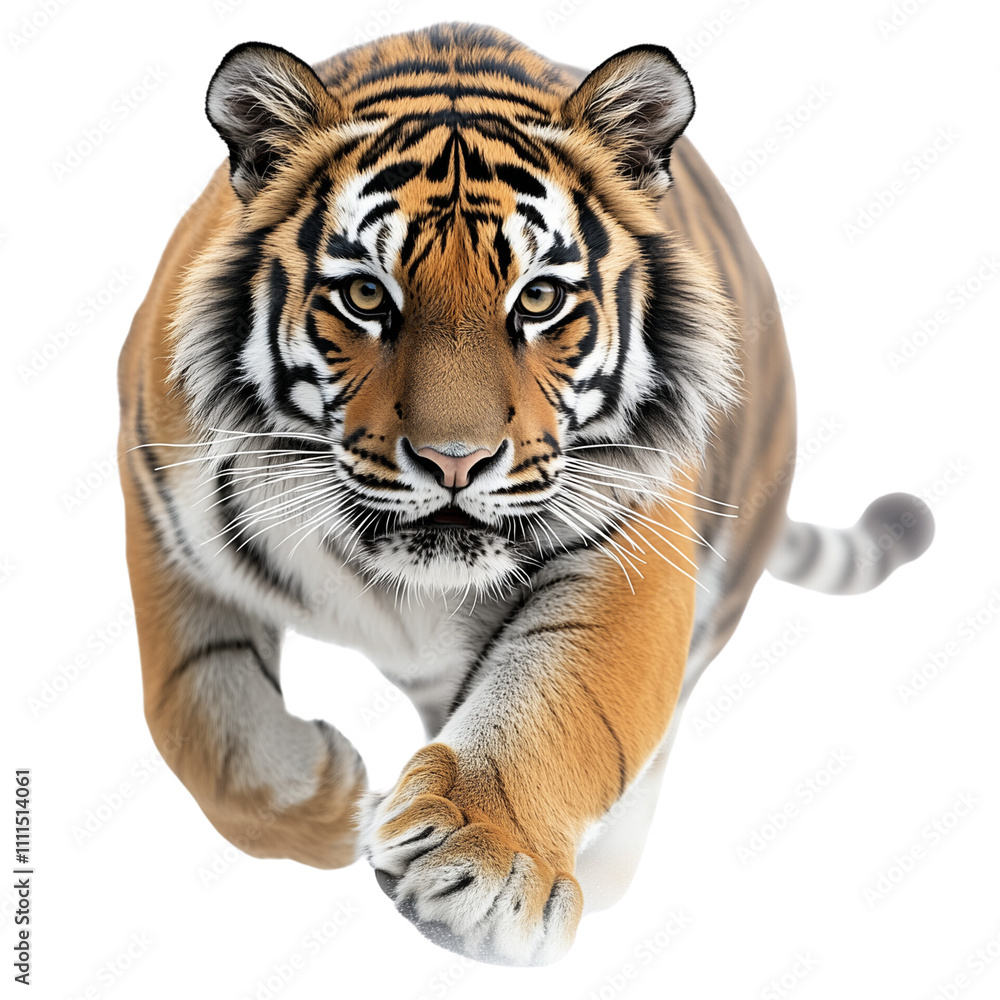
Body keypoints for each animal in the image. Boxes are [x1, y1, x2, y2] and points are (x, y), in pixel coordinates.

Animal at [117, 23, 934, 966]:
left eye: (539, 298)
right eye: (365, 295)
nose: (455, 461)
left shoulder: (636, 540)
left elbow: (567, 698)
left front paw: (482, 864)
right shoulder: (160, 502)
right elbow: (195, 711)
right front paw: (329, 803)